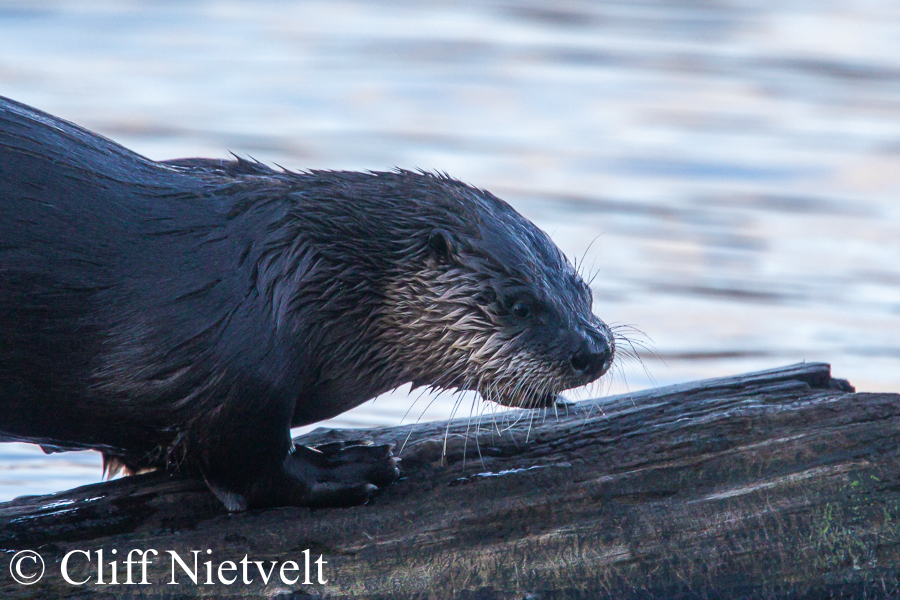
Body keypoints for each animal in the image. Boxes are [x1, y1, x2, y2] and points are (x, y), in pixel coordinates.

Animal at [0, 96, 614, 511]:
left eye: (582, 290)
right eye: (519, 304)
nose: (596, 350)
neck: (290, 281)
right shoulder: (233, 375)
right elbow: (251, 469)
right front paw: (346, 467)